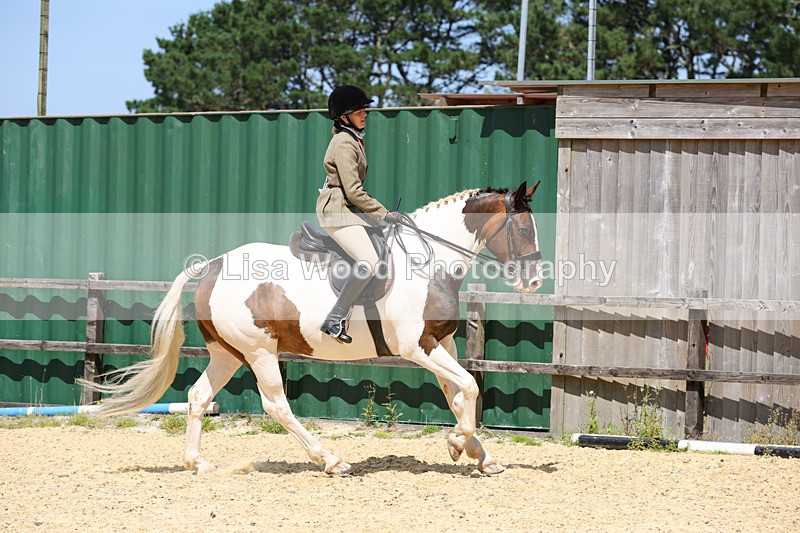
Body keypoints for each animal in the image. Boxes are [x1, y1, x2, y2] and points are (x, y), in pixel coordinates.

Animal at [81, 181, 543, 475]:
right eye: (523, 228)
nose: (535, 282)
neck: (429, 261)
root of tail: (210, 266)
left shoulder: (441, 340)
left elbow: (458, 393)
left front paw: (480, 456)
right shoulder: (418, 346)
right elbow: (469, 386)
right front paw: (457, 445)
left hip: (228, 353)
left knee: (197, 397)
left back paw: (198, 464)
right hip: (260, 352)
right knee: (277, 406)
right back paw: (331, 461)